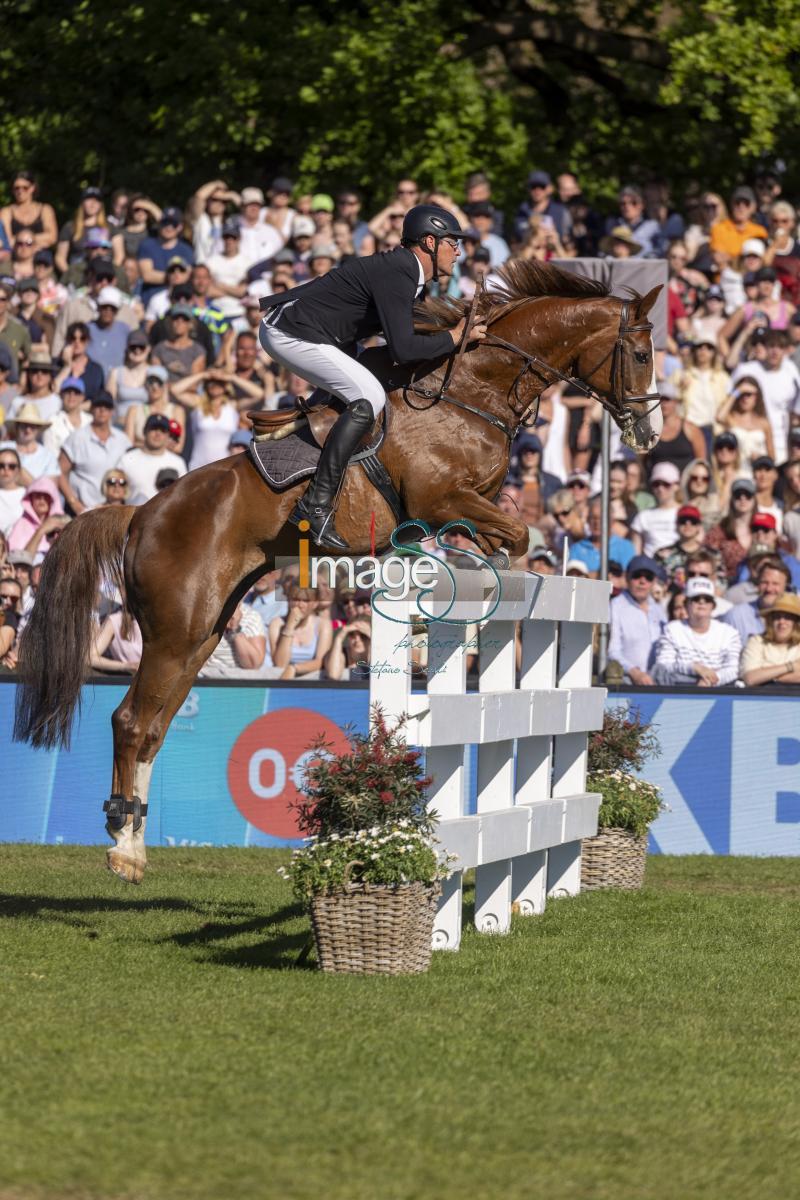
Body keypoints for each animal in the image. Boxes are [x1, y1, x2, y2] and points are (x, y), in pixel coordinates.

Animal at [12, 260, 662, 883]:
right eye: (640, 354)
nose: (649, 434)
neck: (474, 390)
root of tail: (142, 512)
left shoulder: (464, 507)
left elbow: (503, 542)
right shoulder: (441, 499)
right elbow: (514, 539)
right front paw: (458, 622)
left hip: (202, 634)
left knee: (153, 726)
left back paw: (135, 845)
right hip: (175, 631)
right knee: (129, 720)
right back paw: (121, 847)